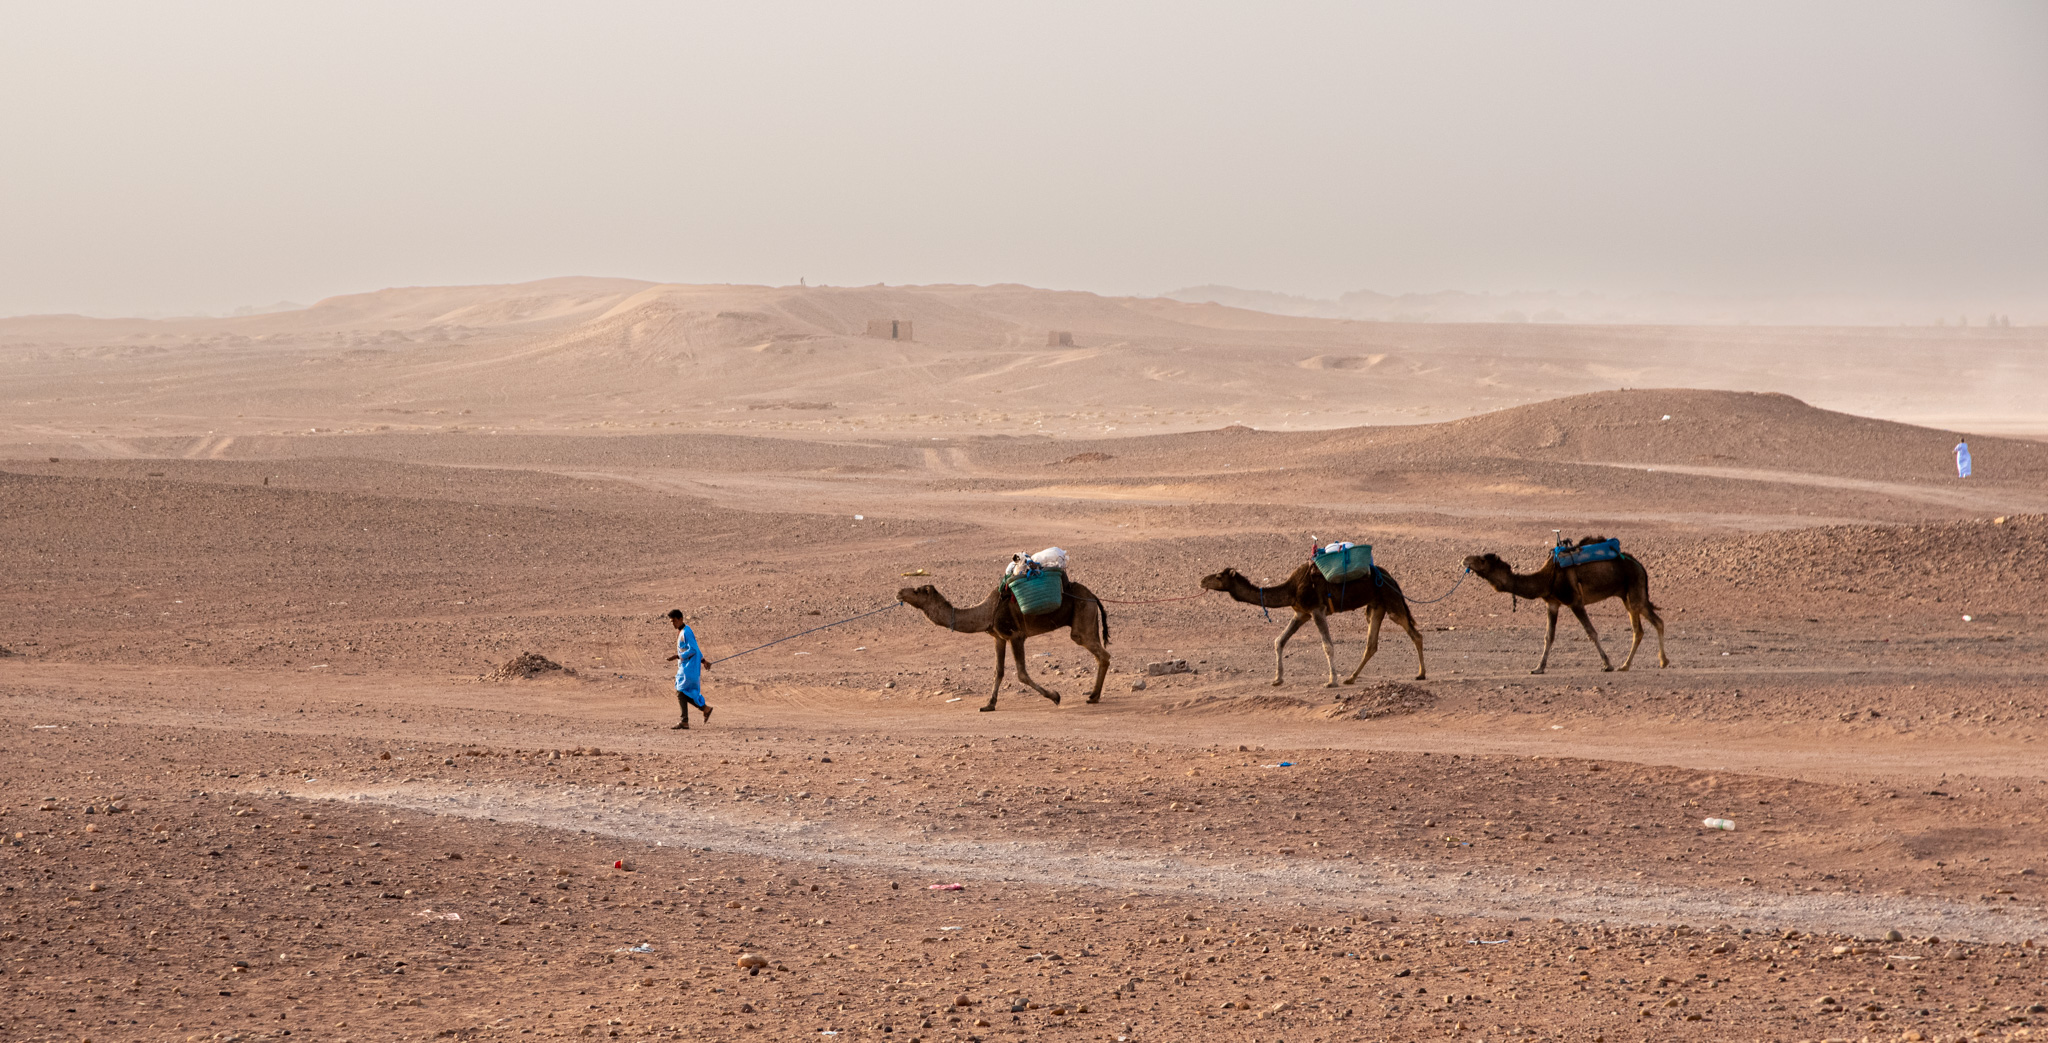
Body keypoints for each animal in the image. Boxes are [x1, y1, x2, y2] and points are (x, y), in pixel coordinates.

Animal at [901, 573, 1114, 713]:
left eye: (917, 590)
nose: (900, 591)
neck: (987, 612)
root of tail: (1094, 597)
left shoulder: (1016, 636)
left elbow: (1021, 674)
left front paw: (1055, 696)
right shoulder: (999, 638)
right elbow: (999, 671)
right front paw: (989, 704)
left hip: (1083, 614)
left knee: (1101, 653)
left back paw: (1094, 697)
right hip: (1088, 617)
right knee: (1099, 655)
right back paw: (1093, 695)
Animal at [1196, 557, 1425, 688]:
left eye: (1218, 576)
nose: (1201, 580)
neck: (1290, 589)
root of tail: (1391, 578)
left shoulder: (1316, 609)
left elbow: (1327, 645)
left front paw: (1331, 681)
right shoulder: (1301, 613)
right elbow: (1279, 641)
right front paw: (1277, 679)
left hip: (1391, 599)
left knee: (1415, 633)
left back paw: (1421, 674)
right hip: (1376, 605)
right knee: (1371, 644)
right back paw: (1350, 678)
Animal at [1458, 536, 1662, 676]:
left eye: (1482, 560)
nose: (1464, 559)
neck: (1547, 578)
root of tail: (1640, 565)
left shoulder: (1575, 601)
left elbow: (1591, 632)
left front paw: (1607, 664)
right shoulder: (1553, 603)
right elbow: (1549, 636)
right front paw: (1538, 668)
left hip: (1634, 589)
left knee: (1652, 623)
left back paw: (1656, 662)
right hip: (1627, 595)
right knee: (1642, 627)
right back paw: (1632, 664)